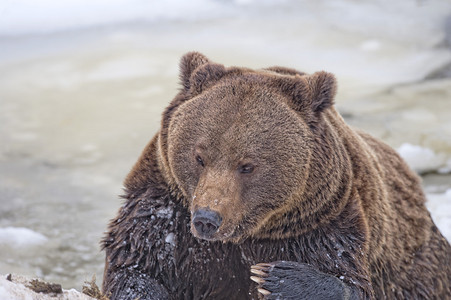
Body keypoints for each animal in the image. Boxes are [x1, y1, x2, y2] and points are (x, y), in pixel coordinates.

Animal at [101, 52, 451, 298]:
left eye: (247, 165)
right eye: (199, 157)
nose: (207, 219)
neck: (250, 234)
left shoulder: (321, 224)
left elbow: (350, 281)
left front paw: (278, 277)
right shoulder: (166, 208)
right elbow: (137, 264)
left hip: (415, 268)